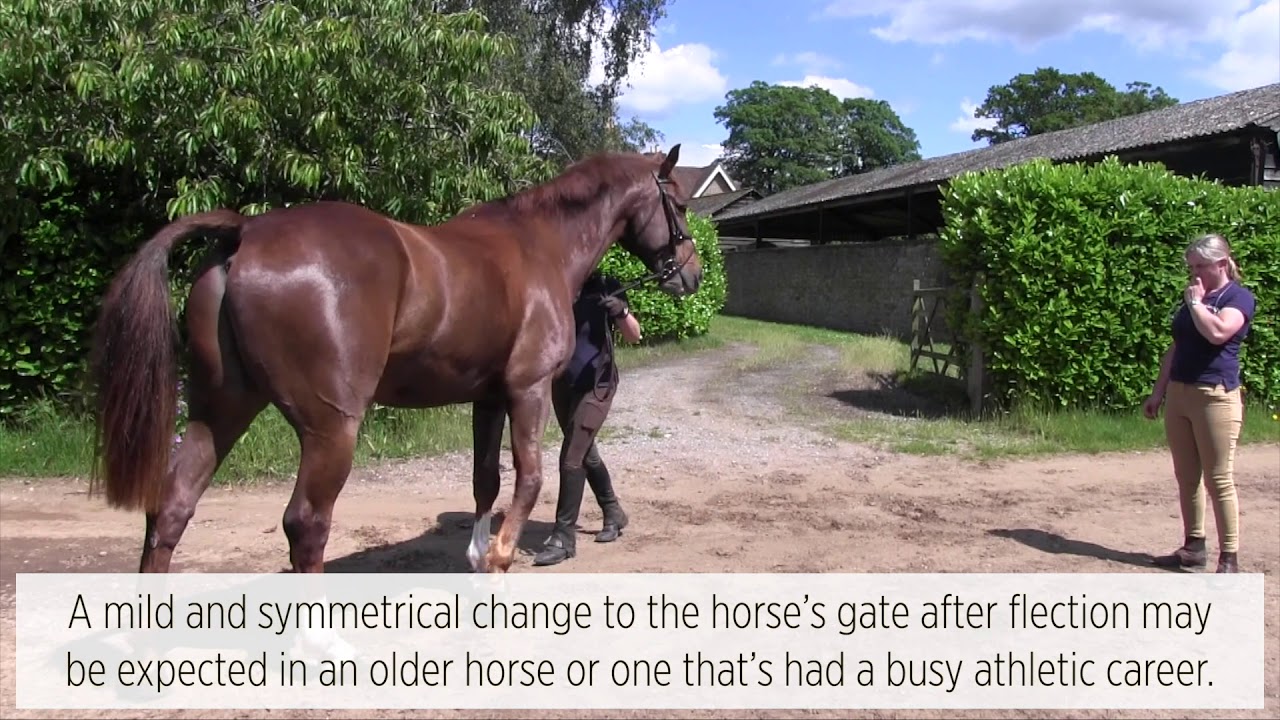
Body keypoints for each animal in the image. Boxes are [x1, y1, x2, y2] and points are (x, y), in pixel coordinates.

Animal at [88, 144, 702, 575]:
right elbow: (528, 479)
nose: (692, 275)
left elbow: (485, 481)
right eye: (678, 202)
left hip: (220, 409)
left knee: (171, 507)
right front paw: (500, 559)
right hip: (330, 428)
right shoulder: (526, 391)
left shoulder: (487, 398)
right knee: (305, 524)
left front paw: (478, 557)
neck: (539, 243)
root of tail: (247, 232)